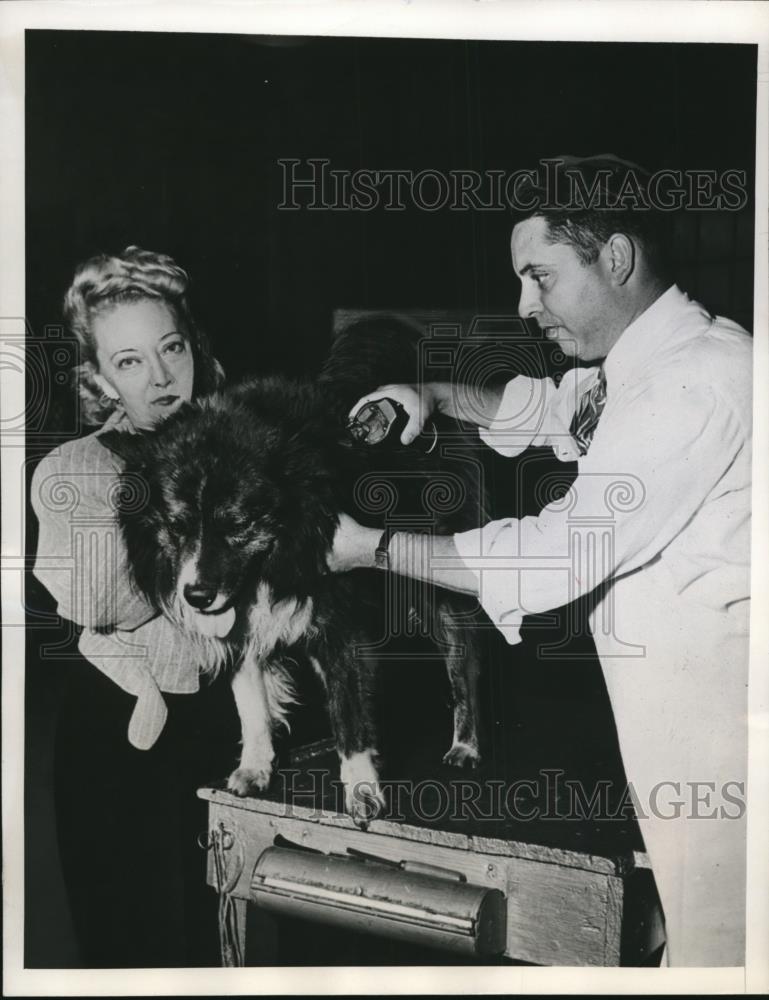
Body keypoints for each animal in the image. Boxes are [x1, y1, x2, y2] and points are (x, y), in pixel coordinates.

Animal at [103, 316, 486, 824]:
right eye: (176, 526)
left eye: (238, 525)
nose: (197, 597)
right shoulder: (242, 629)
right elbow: (250, 702)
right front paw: (255, 766)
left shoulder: (341, 623)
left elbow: (349, 710)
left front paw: (361, 789)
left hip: (433, 588)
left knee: (463, 663)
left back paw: (465, 743)